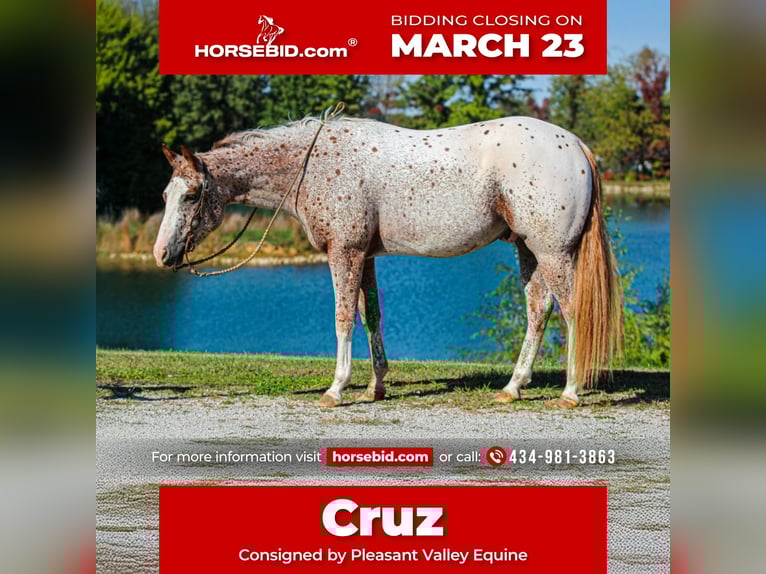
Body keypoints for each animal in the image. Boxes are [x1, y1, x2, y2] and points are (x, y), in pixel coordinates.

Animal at [153, 114, 622, 409]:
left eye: (191, 196)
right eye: (165, 194)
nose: (161, 254)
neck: (313, 164)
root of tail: (575, 145)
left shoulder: (344, 252)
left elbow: (344, 318)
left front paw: (336, 389)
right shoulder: (366, 256)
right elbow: (372, 316)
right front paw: (374, 388)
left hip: (552, 251)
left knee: (572, 311)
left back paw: (570, 392)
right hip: (528, 248)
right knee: (538, 310)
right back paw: (513, 387)